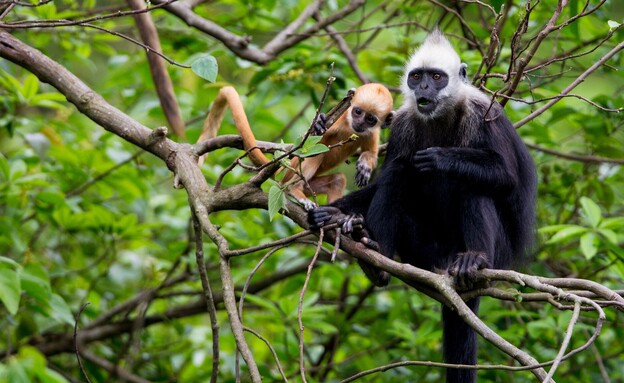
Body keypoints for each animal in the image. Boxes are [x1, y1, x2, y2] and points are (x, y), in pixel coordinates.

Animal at [197, 85, 392, 210]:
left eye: (370, 119)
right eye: (357, 111)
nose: (360, 123)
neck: (350, 128)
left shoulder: (371, 133)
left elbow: (371, 153)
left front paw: (365, 165)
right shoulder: (340, 119)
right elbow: (306, 143)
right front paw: (319, 121)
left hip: (311, 185)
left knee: (338, 179)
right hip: (291, 173)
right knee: (317, 152)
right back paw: (294, 190)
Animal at [308, 27, 536, 383]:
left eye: (436, 77)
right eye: (416, 77)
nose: (423, 89)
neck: (439, 117)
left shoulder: (484, 114)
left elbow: (507, 177)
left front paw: (442, 158)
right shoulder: (403, 123)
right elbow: (390, 173)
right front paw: (334, 212)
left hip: (496, 252)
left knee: (473, 189)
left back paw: (474, 262)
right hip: (422, 250)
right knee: (399, 174)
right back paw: (376, 258)